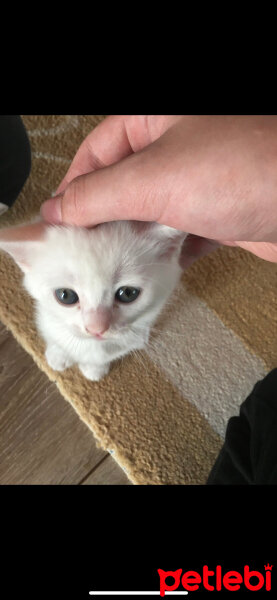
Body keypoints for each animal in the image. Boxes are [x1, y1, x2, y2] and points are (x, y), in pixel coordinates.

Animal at [0, 219, 187, 380]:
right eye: (65, 295)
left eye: (128, 293)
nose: (96, 328)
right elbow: (54, 335)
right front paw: (58, 354)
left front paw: (94, 368)